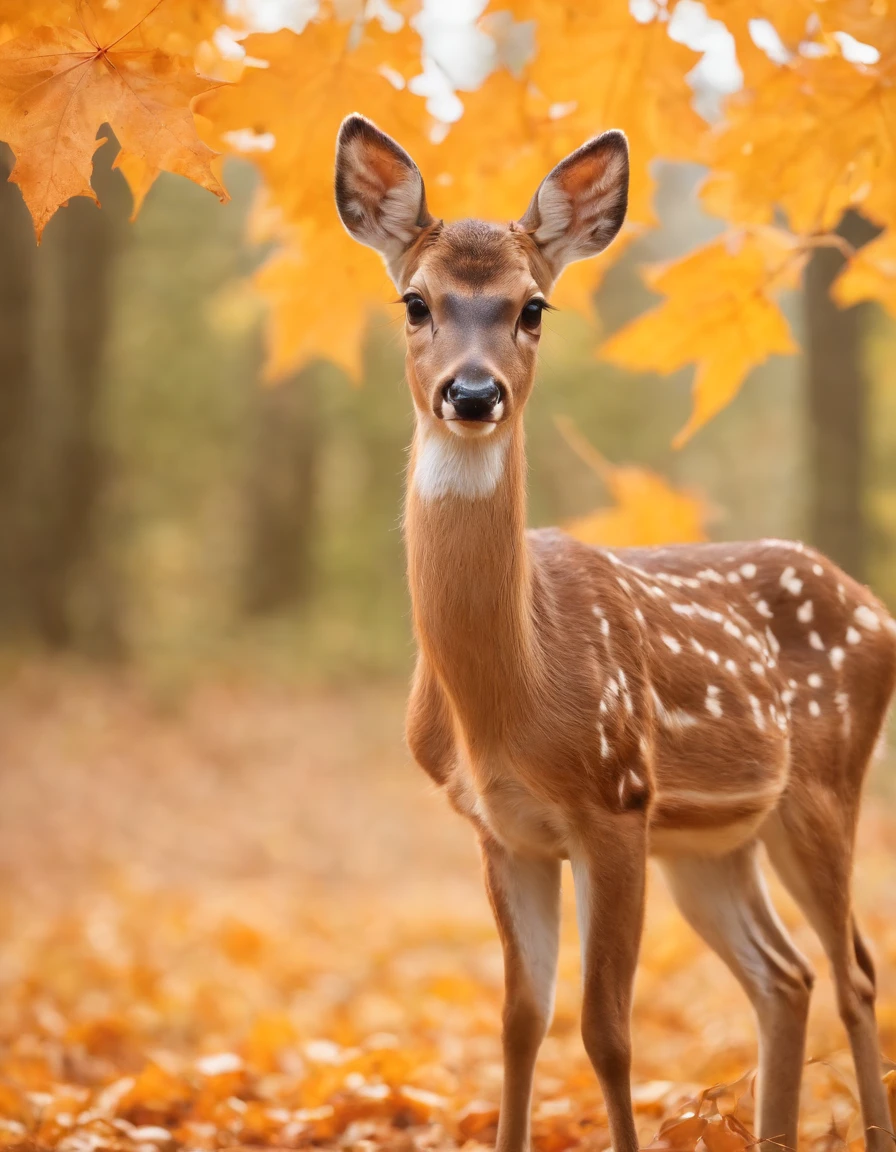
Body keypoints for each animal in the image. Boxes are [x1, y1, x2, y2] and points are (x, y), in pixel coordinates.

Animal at [331, 114, 893, 1152]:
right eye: (415, 302)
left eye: (533, 308)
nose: (473, 394)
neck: (512, 693)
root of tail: (874, 605)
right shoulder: (502, 828)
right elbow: (521, 1020)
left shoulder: (616, 801)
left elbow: (607, 1030)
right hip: (712, 844)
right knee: (786, 976)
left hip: (823, 789)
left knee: (855, 972)